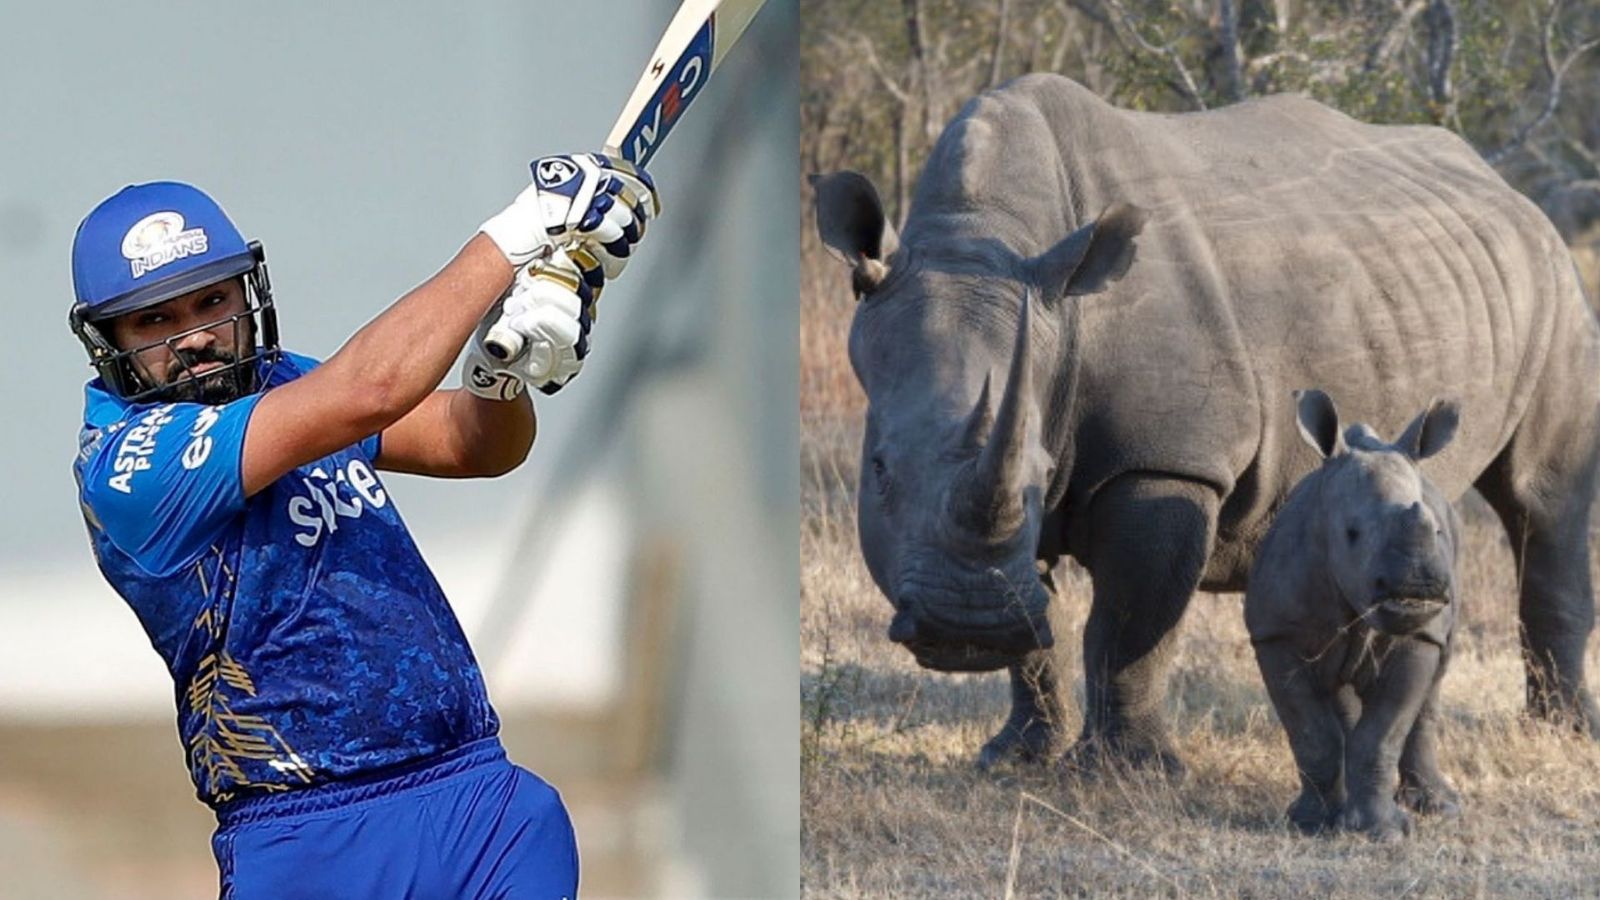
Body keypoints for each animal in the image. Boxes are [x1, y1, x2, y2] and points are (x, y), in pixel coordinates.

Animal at [812, 73, 1600, 773]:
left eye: (1044, 470)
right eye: (879, 470)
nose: (963, 628)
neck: (984, 235)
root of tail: (1505, 187)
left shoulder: (1167, 462)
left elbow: (1129, 626)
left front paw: (1126, 772)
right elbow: (1036, 630)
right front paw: (1015, 757)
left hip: (1554, 281)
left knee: (1541, 502)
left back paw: (1559, 734)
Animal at [1247, 390, 1462, 841]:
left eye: (1436, 532)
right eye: (1351, 534)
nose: (1418, 588)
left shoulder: (1417, 636)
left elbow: (1382, 735)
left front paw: (1383, 832)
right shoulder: (1275, 635)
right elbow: (1311, 733)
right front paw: (1310, 823)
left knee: (1434, 679)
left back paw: (1442, 809)